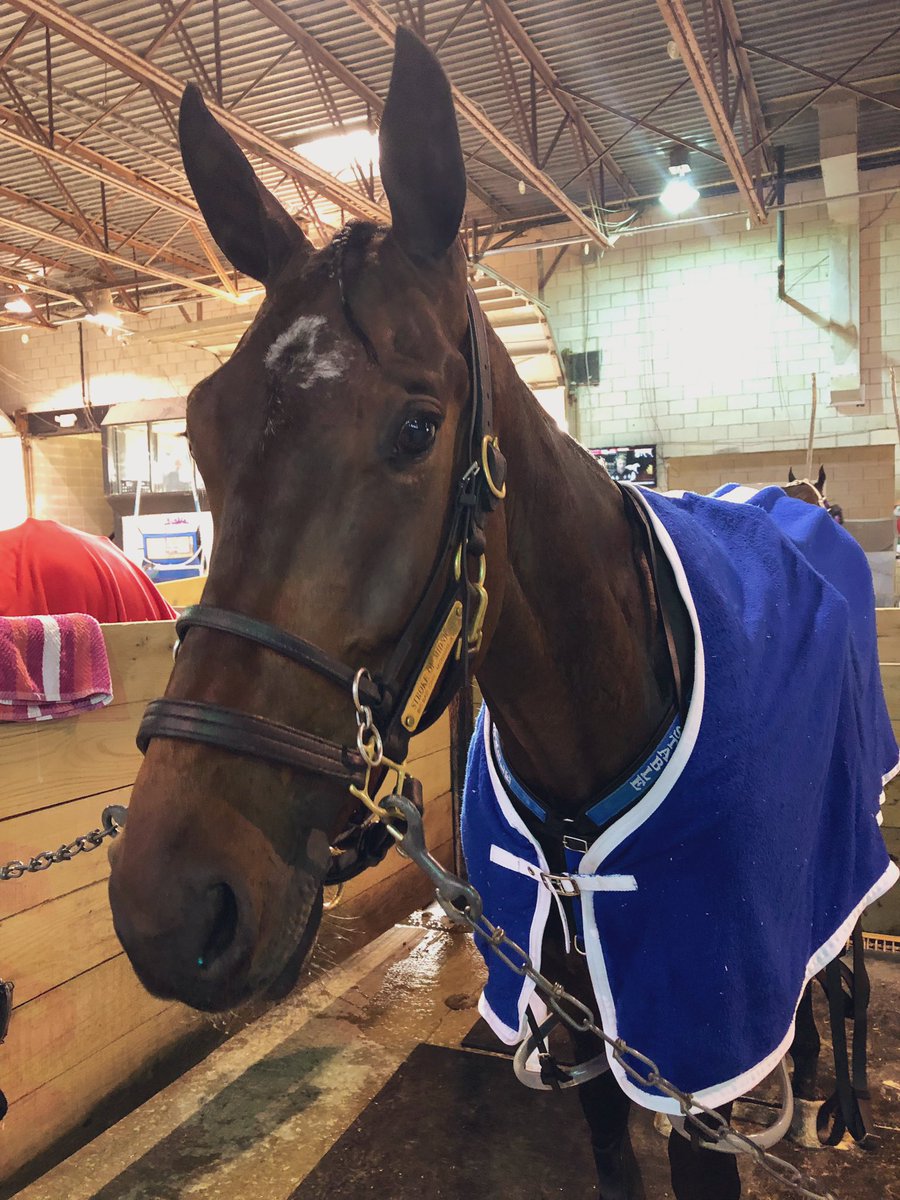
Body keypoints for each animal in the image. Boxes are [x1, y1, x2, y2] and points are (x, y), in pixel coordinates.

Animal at [107, 30, 896, 1200]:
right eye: (201, 427)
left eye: (417, 428)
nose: (169, 905)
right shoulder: (585, 1039)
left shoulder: (687, 1064)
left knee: (844, 977)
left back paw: (837, 1106)